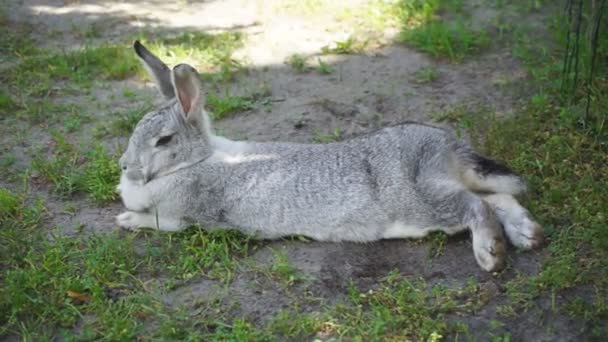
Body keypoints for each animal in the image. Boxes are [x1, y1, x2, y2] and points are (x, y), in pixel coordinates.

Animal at [116, 41, 544, 272]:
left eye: (163, 140)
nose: (126, 167)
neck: (200, 159)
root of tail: (442, 147)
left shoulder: (181, 216)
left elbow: (157, 222)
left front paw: (126, 220)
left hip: (422, 201)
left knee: (477, 206)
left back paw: (490, 254)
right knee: (500, 197)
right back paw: (528, 235)